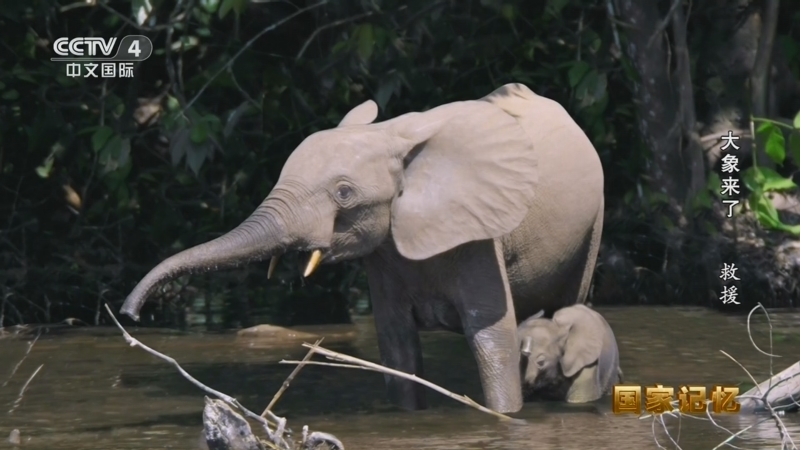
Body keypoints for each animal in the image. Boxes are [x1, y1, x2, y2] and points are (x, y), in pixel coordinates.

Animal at [119, 83, 605, 414]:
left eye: (344, 193)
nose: (130, 315)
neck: (392, 137)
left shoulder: (479, 235)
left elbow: (491, 337)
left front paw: (506, 415)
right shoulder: (385, 253)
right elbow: (396, 344)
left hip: (593, 223)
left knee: (567, 305)